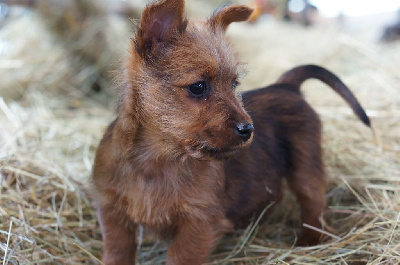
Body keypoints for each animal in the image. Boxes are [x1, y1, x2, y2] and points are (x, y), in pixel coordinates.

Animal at [91, 1, 372, 262]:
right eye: (198, 87)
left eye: (234, 84)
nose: (248, 129)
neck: (158, 161)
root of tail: (286, 86)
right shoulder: (112, 214)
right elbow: (117, 252)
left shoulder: (199, 221)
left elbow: (181, 256)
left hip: (306, 165)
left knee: (313, 202)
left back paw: (309, 241)